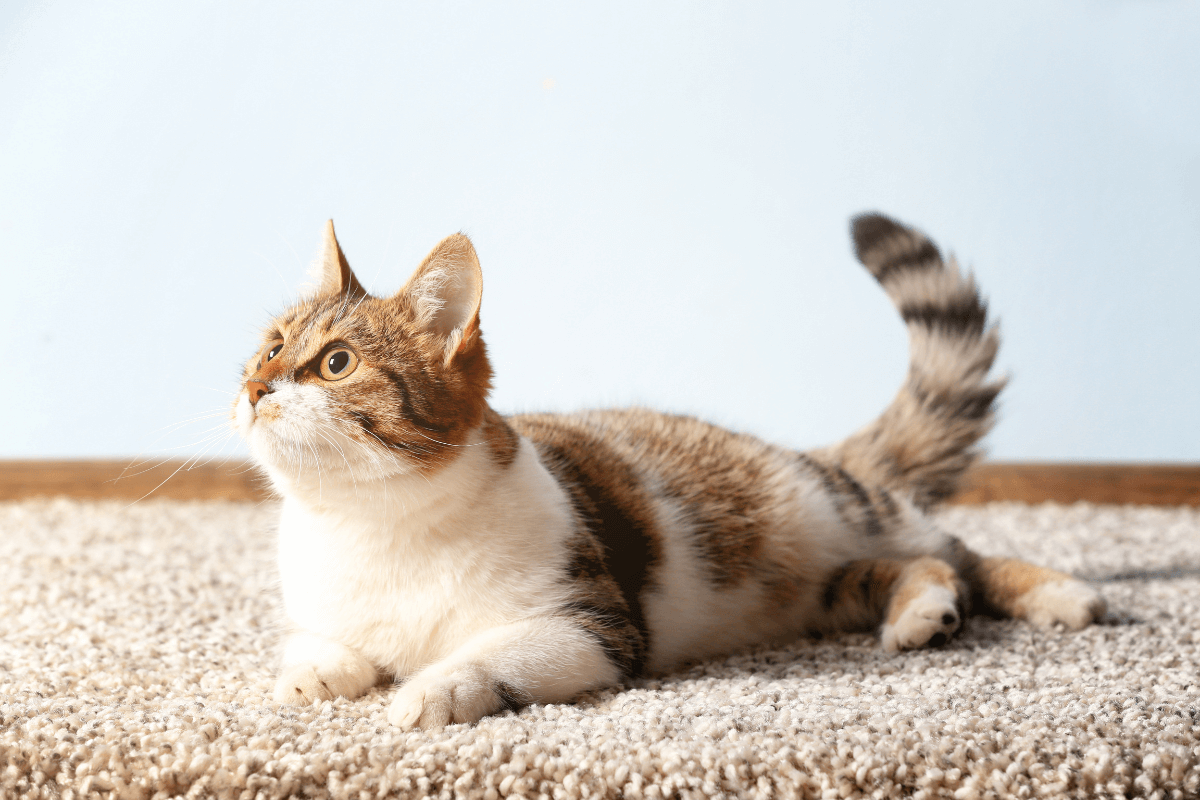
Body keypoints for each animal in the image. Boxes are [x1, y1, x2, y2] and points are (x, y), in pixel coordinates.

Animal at [231, 214, 1104, 734]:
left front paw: (432, 688)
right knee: (903, 569)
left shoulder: (594, 623)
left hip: (840, 503)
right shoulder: (320, 606)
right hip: (820, 586)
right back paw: (921, 611)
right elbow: (315, 645)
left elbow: (492, 653)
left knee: (960, 552)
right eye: (269, 345)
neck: (374, 523)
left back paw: (1060, 595)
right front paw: (317, 676)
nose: (253, 387)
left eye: (336, 363)